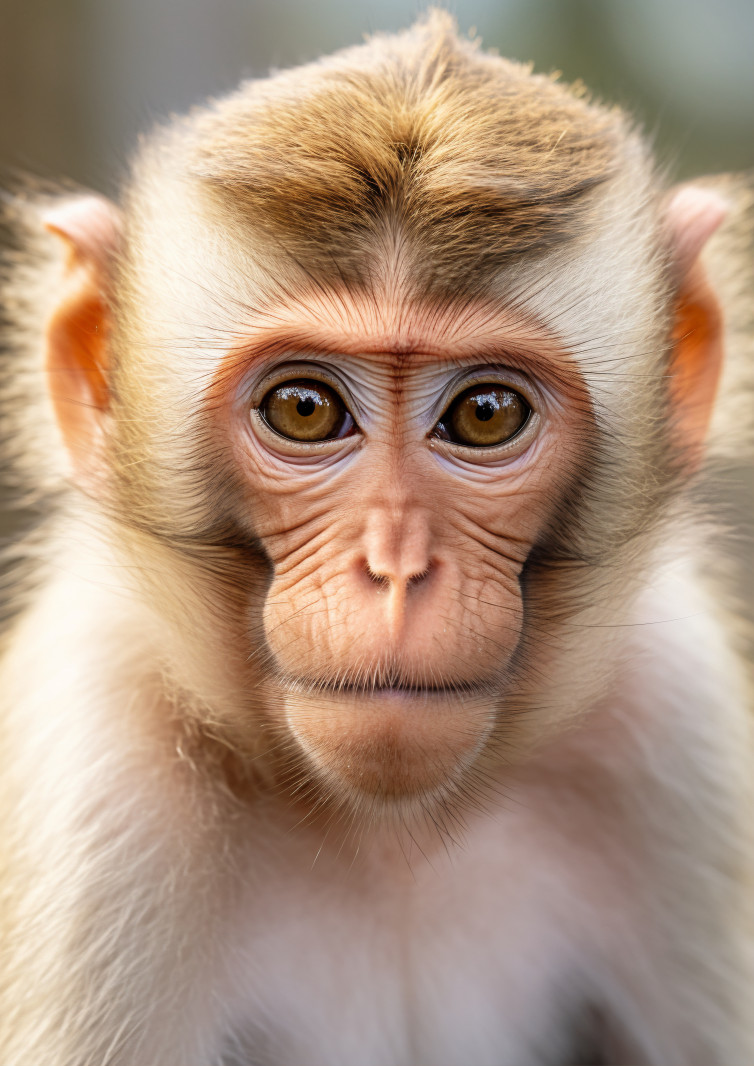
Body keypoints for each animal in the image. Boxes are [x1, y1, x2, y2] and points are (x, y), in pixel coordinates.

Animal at [0, 10, 753, 1065]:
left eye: (485, 414)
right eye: (305, 409)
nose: (396, 570)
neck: (384, 830)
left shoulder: (681, 729)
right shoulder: (100, 792)